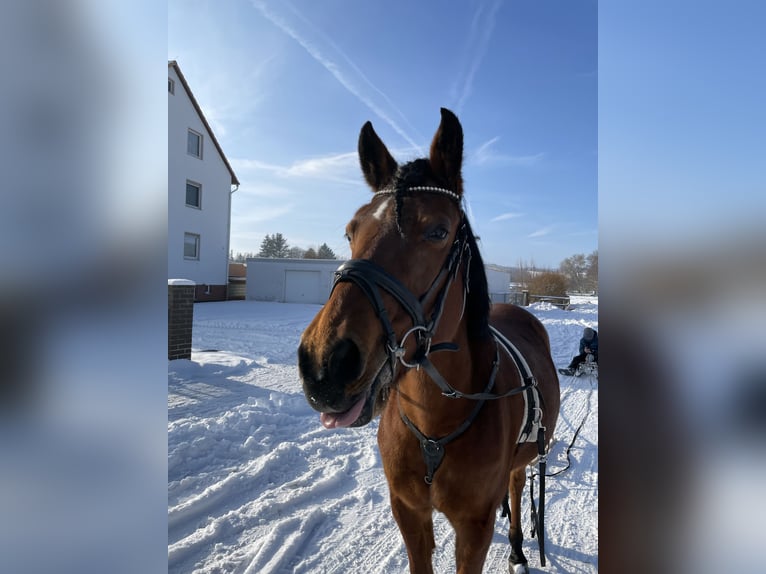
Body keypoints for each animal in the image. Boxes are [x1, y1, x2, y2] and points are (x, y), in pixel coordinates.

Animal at [296, 109, 560, 574]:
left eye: (438, 231)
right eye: (350, 231)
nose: (325, 364)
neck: (436, 427)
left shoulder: (474, 530)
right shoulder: (408, 513)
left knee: (516, 482)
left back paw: (515, 547)